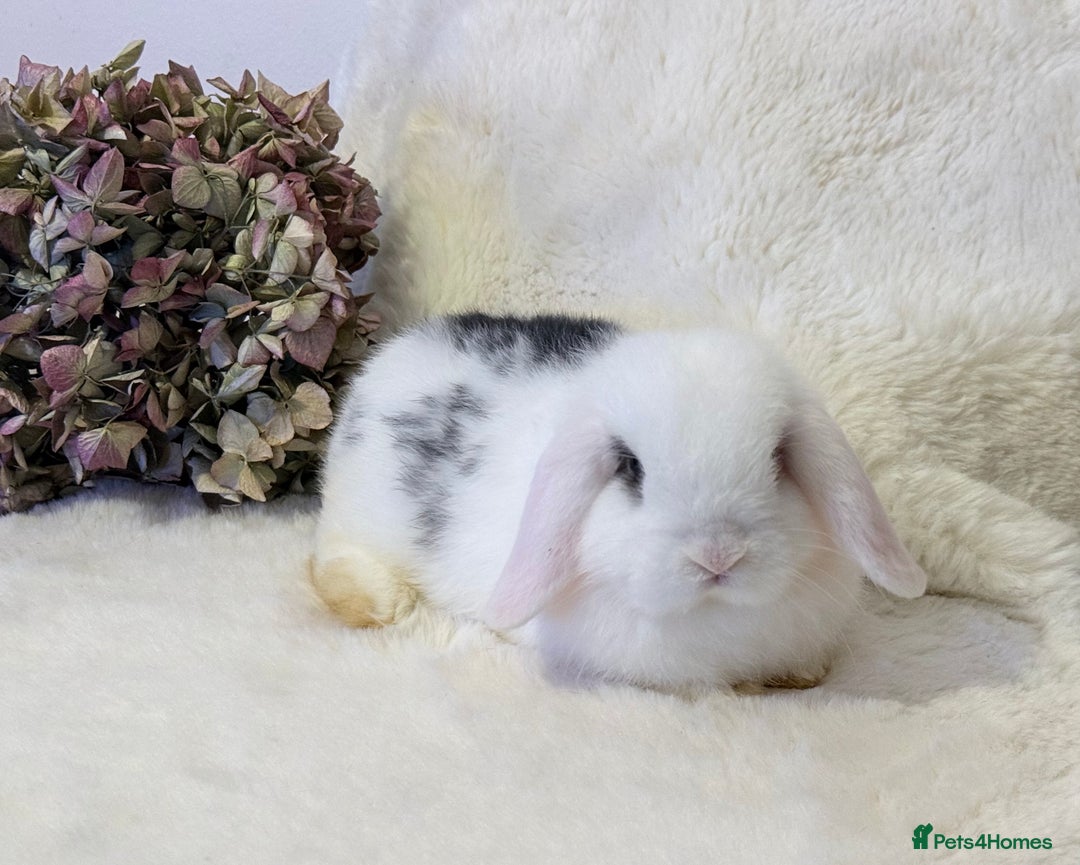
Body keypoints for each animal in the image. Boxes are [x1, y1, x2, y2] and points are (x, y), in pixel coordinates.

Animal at [310, 312, 927, 690]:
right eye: (631, 468)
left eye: (778, 458)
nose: (718, 554)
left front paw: (797, 677)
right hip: (357, 518)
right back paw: (382, 602)